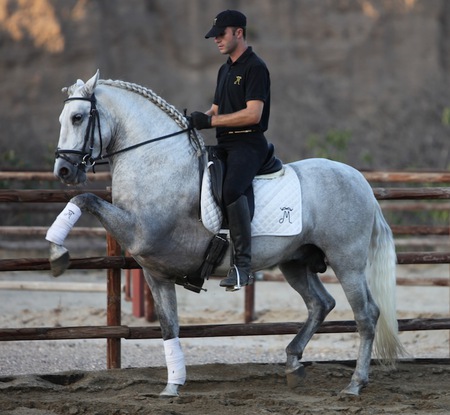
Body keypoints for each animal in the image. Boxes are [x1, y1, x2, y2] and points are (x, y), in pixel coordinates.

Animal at [45, 70, 404, 400]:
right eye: (62, 118)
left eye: (77, 117)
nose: (63, 170)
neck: (158, 163)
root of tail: (360, 181)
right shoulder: (155, 273)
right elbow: (168, 326)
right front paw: (172, 385)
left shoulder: (139, 232)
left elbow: (85, 199)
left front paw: (57, 254)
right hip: (295, 262)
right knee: (321, 304)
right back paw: (293, 364)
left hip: (347, 262)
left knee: (365, 315)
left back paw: (354, 385)